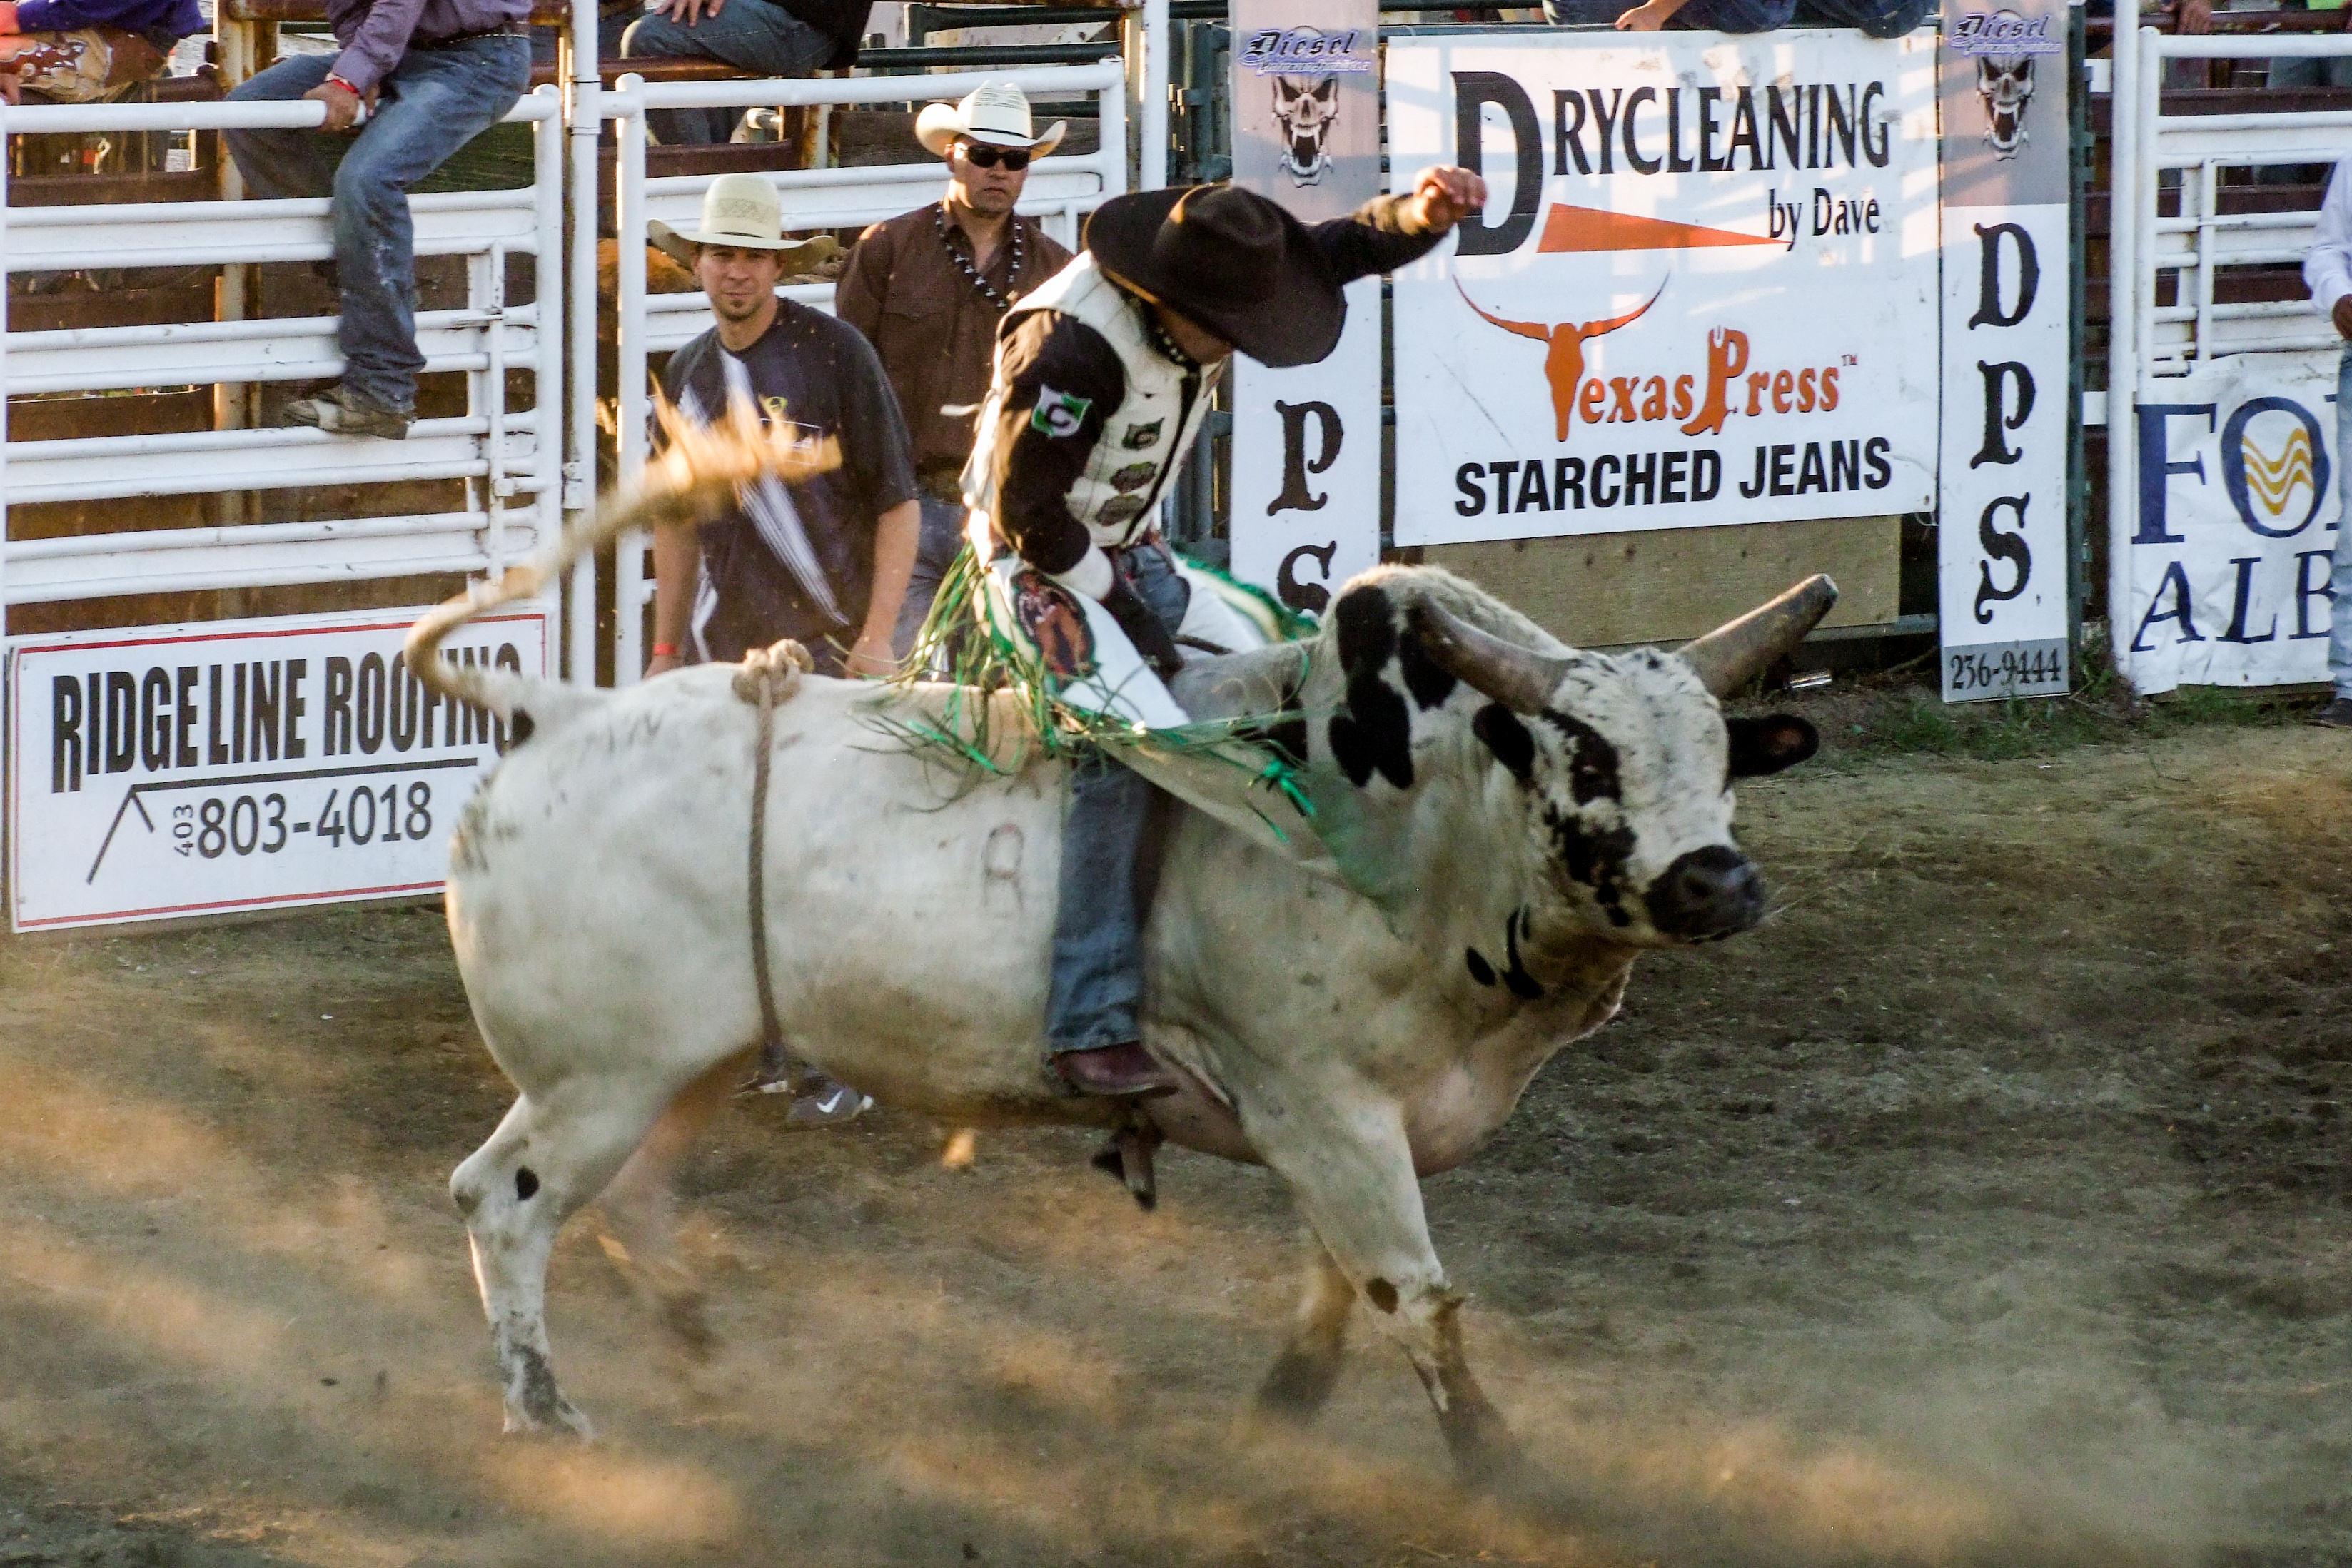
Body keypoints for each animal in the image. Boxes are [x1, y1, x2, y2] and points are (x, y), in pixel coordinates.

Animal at [407, 413, 1833, 1485]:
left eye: (1722, 757)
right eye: (1585, 758)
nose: (1717, 879)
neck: (1406, 819)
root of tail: (553, 708)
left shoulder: (1338, 1124)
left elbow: (1336, 1283)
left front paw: (1280, 1411)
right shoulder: (1321, 1104)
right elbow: (1408, 1294)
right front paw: (1500, 1471)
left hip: (688, 1060)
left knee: (630, 1198)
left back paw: (699, 1345)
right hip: (595, 1074)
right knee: (504, 1199)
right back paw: (546, 1409)